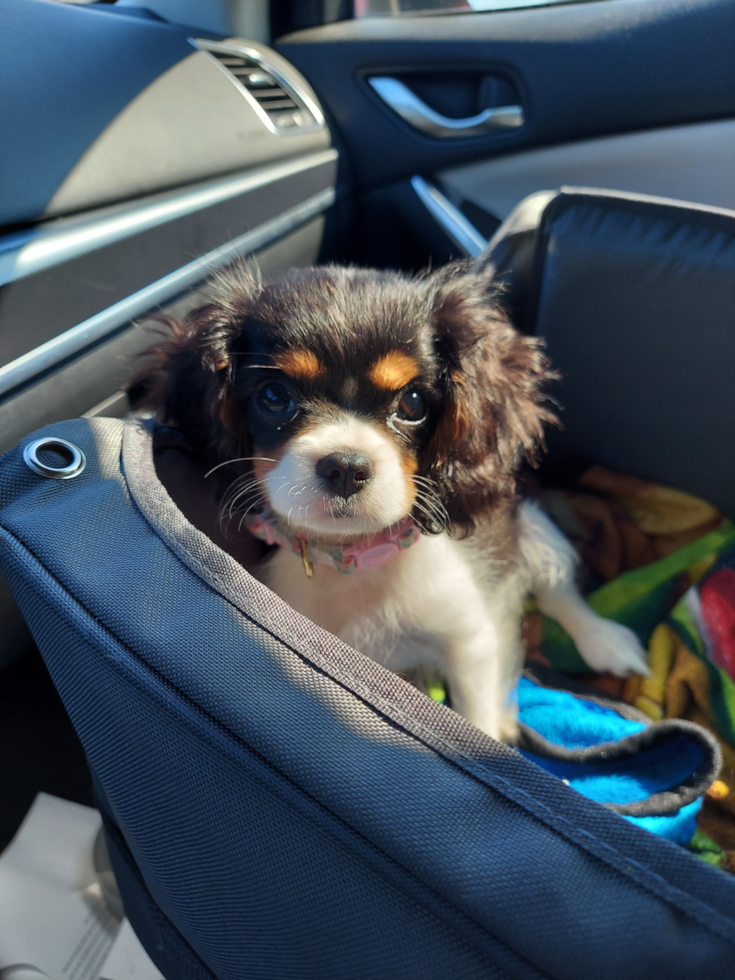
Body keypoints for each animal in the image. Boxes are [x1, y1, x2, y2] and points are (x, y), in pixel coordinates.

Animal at [145, 264, 648, 740]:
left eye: (412, 402)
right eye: (273, 396)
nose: (345, 467)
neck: (353, 558)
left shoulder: (471, 639)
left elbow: (478, 723)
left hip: (532, 525)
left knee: (556, 588)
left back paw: (606, 641)